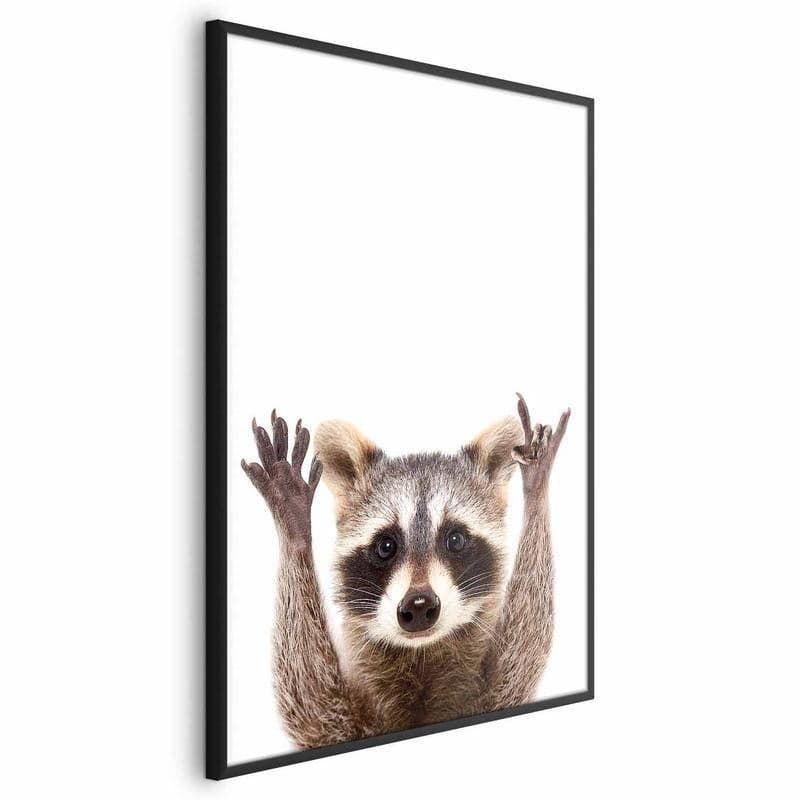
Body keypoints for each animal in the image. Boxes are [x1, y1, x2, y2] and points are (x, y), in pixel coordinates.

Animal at [241, 394, 569, 749]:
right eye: (386, 546)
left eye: (455, 539)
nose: (419, 605)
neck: (421, 655)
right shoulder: (337, 720)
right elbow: (309, 700)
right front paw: (294, 527)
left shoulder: (493, 693)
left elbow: (522, 653)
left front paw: (536, 488)